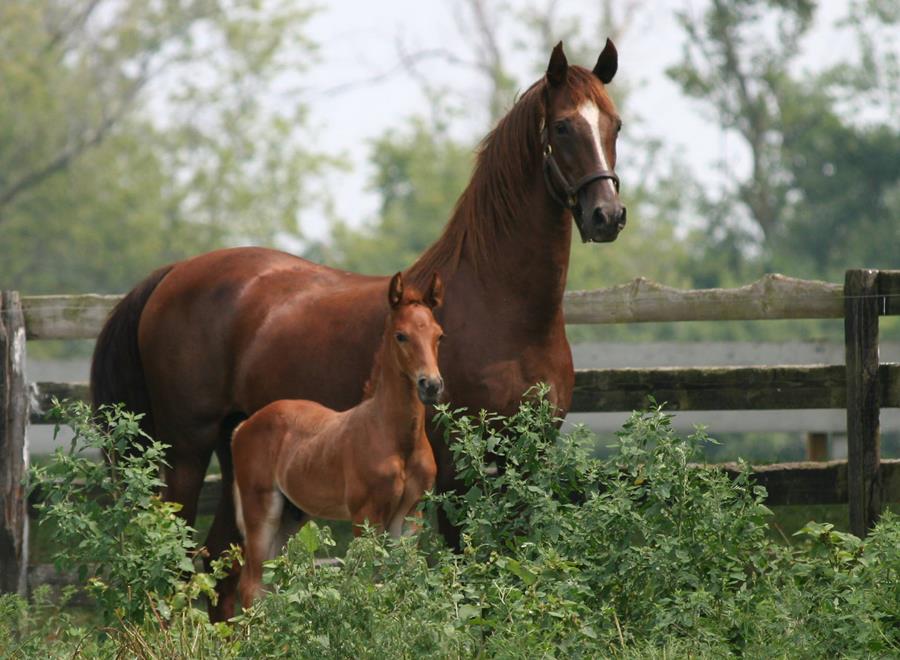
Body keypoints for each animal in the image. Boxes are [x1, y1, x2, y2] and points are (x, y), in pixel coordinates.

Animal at [232, 270, 442, 604]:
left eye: (439, 335)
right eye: (401, 335)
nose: (431, 385)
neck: (396, 439)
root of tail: (245, 425)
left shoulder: (411, 516)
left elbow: (402, 581)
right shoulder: (366, 515)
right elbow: (368, 582)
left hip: (292, 516)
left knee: (271, 582)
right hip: (262, 509)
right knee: (252, 585)